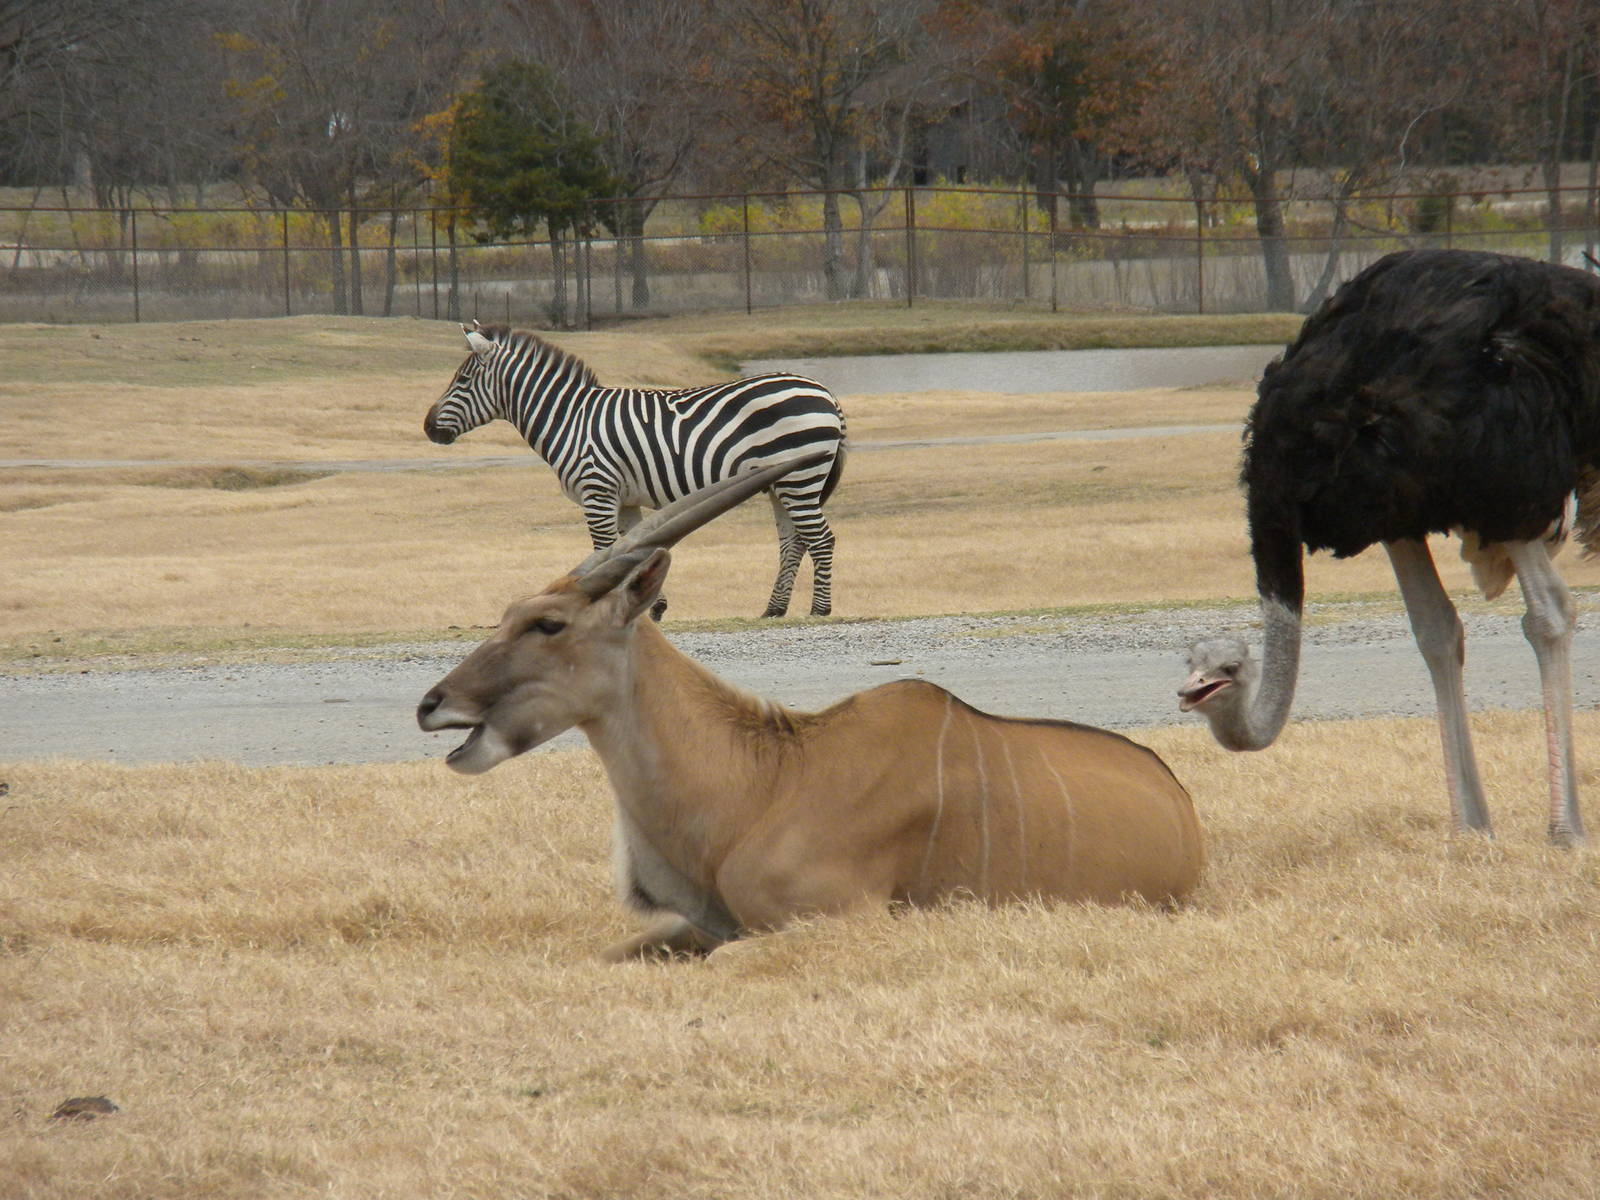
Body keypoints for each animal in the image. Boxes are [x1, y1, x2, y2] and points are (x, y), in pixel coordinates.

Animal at [424, 321, 847, 618]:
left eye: (462, 380)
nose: (428, 427)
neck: (569, 420)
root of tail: (825, 391)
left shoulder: (597, 490)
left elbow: (605, 551)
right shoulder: (625, 499)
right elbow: (633, 552)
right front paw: (652, 607)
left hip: (800, 478)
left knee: (822, 540)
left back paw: (820, 609)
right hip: (781, 482)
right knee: (793, 542)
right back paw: (774, 609)